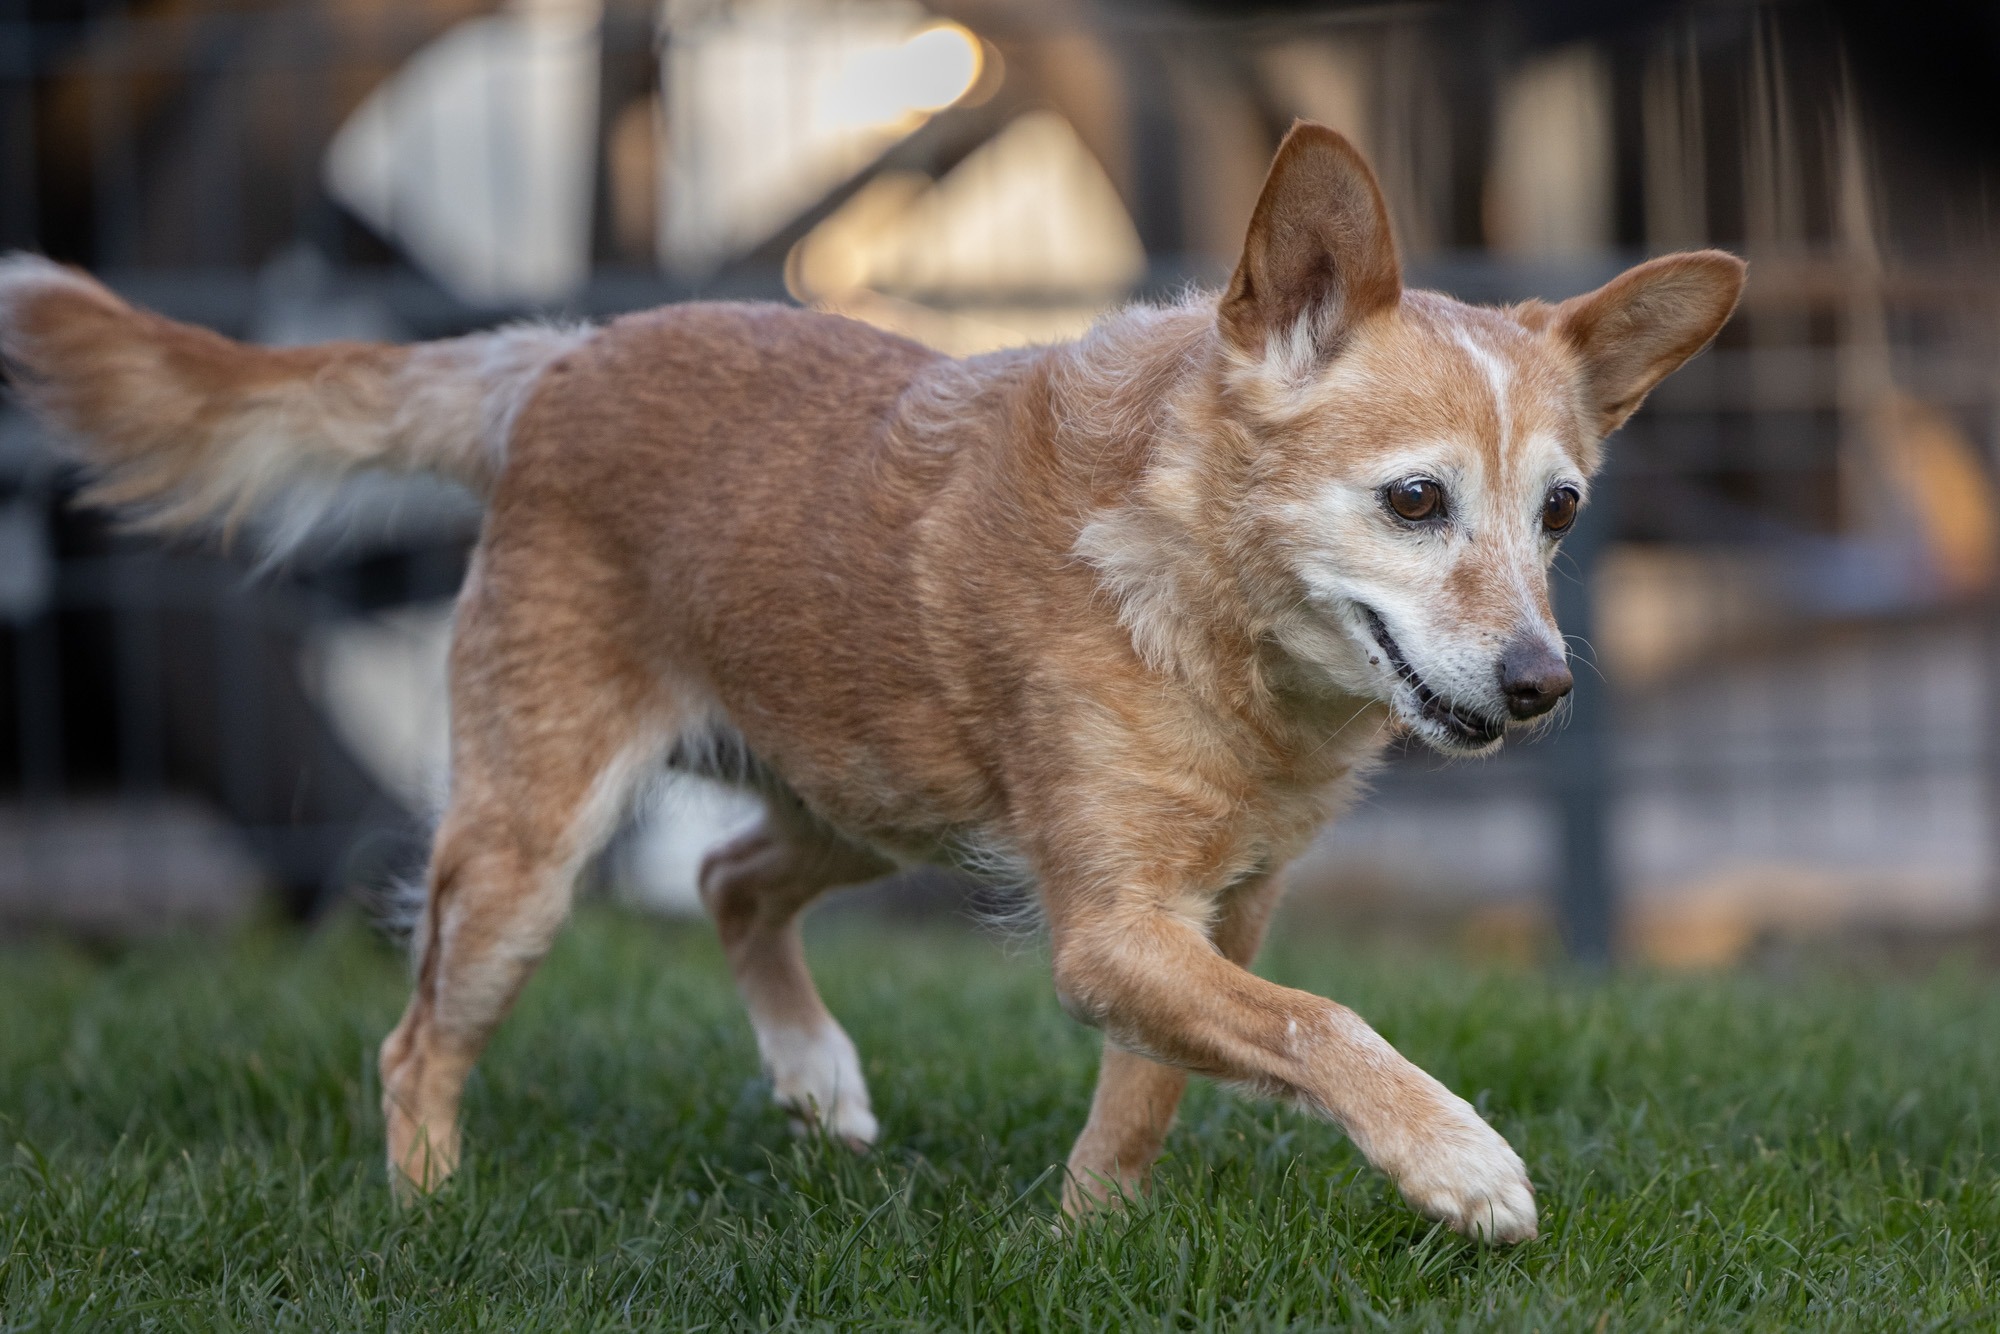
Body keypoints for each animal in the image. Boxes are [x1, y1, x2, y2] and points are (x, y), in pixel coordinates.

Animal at [0, 123, 1743, 1243]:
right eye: (1414, 500)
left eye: (1560, 512)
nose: (1544, 683)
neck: (1212, 624)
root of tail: (557, 356)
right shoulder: (1113, 934)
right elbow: (1327, 1025)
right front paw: (1457, 1161)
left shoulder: (1214, 921)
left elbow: (1159, 1093)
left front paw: (1085, 1241)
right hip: (527, 855)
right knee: (417, 1042)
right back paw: (429, 1215)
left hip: (867, 799)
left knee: (725, 876)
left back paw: (814, 1073)